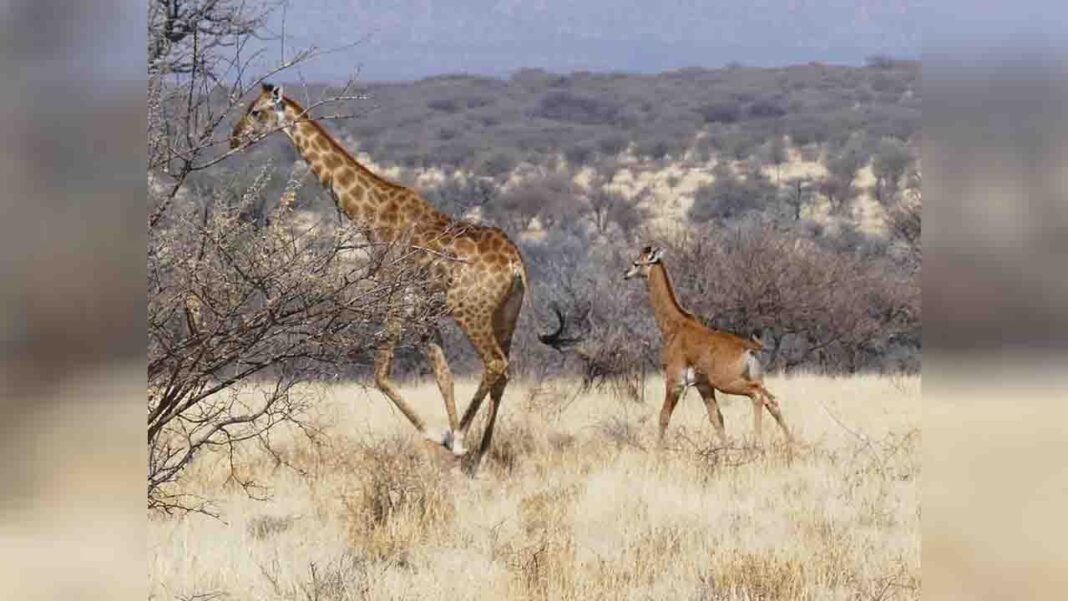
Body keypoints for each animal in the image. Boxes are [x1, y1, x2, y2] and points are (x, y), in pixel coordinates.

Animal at [230, 83, 526, 470]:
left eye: (256, 112)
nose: (234, 138)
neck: (372, 214)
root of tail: (515, 264)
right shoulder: (422, 310)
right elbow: (443, 376)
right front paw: (452, 445)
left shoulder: (394, 295)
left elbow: (380, 374)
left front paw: (445, 437)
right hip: (506, 314)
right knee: (503, 372)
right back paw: (481, 456)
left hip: (469, 309)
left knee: (494, 364)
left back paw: (466, 441)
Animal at [623, 245, 793, 444]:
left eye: (637, 262)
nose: (626, 273)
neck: (675, 325)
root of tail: (749, 348)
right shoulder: (703, 385)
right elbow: (717, 418)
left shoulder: (675, 382)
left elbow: (664, 417)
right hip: (752, 379)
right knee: (771, 400)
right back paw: (791, 441)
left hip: (727, 382)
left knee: (757, 395)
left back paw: (757, 441)